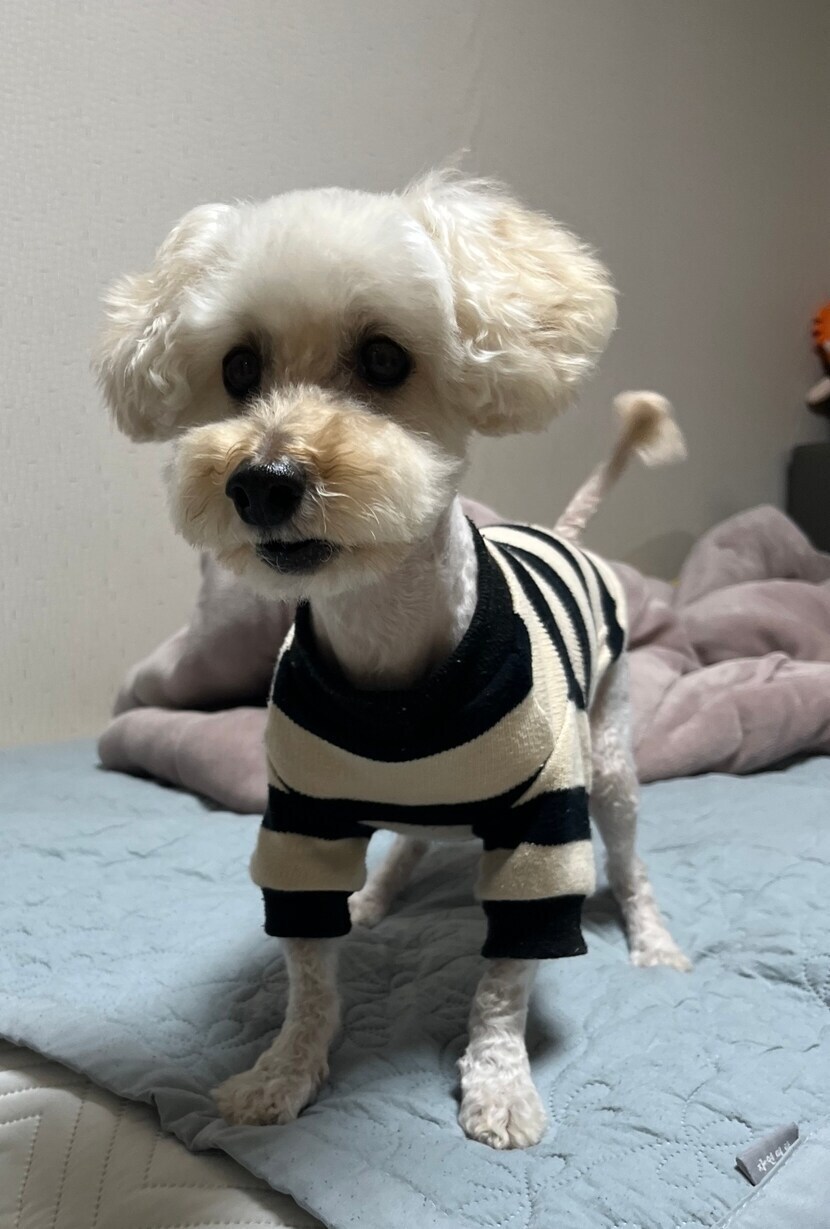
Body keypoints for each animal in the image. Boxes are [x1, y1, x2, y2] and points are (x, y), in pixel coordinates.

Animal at [95, 173, 689, 1150]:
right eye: (238, 369)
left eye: (383, 359)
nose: (261, 482)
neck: (384, 648)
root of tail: (559, 532)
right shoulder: (299, 822)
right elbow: (307, 973)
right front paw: (282, 1071)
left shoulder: (541, 830)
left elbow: (504, 982)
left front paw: (501, 1085)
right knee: (412, 837)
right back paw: (377, 895)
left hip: (609, 761)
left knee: (631, 861)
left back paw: (654, 942)